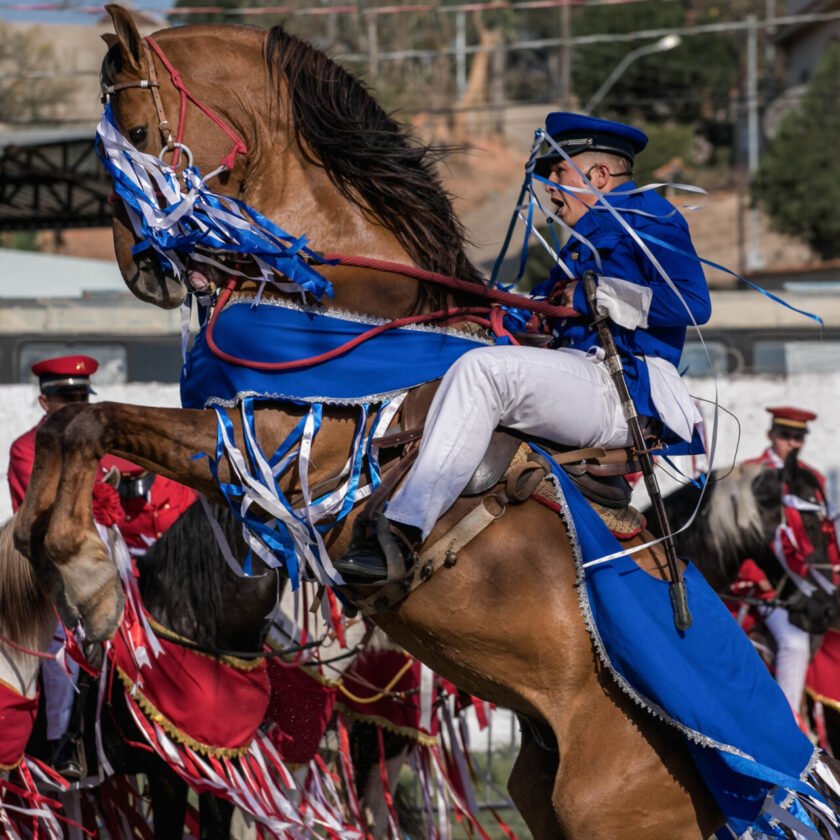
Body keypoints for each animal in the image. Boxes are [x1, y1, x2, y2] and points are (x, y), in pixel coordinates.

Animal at [13, 8, 724, 840]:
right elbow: (70, 428)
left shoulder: (264, 448)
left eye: (132, 128)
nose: (140, 268)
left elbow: (87, 424)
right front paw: (57, 564)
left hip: (612, 811)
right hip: (545, 797)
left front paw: (86, 577)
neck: (347, 297)